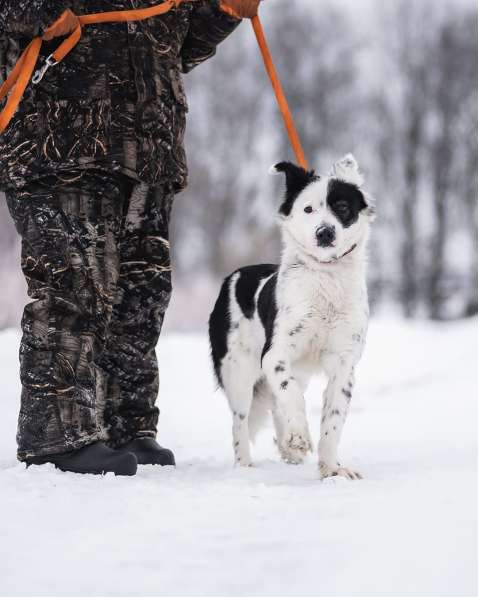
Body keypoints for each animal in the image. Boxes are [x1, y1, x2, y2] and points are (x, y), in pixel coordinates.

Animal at [208, 155, 374, 480]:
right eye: (308, 209)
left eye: (342, 207)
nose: (325, 233)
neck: (325, 277)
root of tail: (233, 276)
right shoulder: (275, 354)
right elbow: (291, 395)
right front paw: (298, 437)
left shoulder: (343, 363)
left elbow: (332, 421)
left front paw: (332, 469)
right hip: (238, 371)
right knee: (240, 421)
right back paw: (245, 466)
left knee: (275, 404)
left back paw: (287, 449)